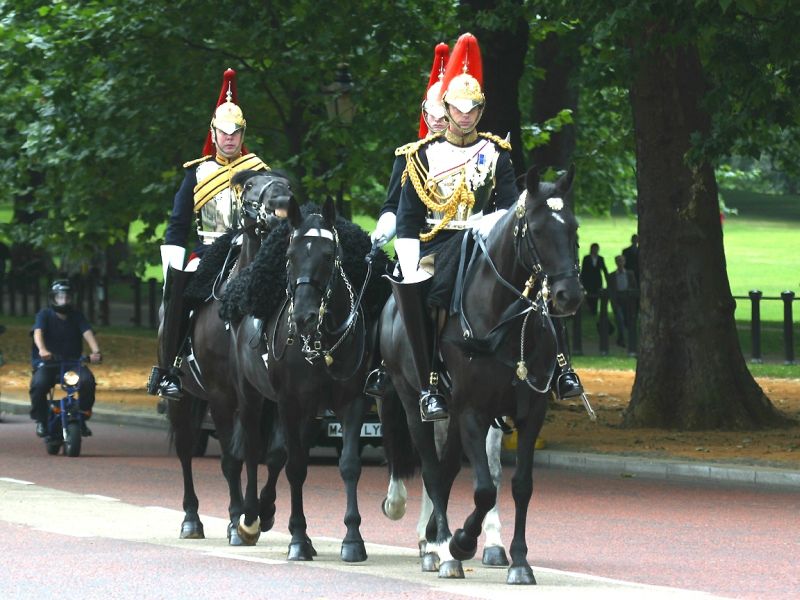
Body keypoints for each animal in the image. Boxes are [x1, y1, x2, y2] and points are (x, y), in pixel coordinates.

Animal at [164, 168, 292, 544]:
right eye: (249, 186)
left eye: (287, 183)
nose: (281, 201)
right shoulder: (223, 394)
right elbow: (233, 458)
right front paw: (239, 518)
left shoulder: (271, 397)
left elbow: (274, 454)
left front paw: (265, 511)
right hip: (184, 398)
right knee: (185, 450)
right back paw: (191, 519)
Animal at [228, 196, 384, 564]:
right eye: (289, 255)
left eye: (328, 255)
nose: (303, 316)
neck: (323, 340)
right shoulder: (289, 402)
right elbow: (297, 466)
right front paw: (298, 538)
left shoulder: (352, 403)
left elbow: (349, 465)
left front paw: (353, 539)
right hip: (251, 395)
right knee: (253, 450)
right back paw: (249, 519)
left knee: (275, 455)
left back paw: (266, 511)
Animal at [378, 164, 584, 580]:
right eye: (537, 230)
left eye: (572, 227)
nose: (568, 295)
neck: (505, 321)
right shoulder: (472, 410)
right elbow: (484, 489)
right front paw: (459, 542)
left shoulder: (529, 412)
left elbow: (519, 484)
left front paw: (518, 561)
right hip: (415, 403)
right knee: (431, 469)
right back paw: (438, 548)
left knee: (446, 469)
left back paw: (436, 538)